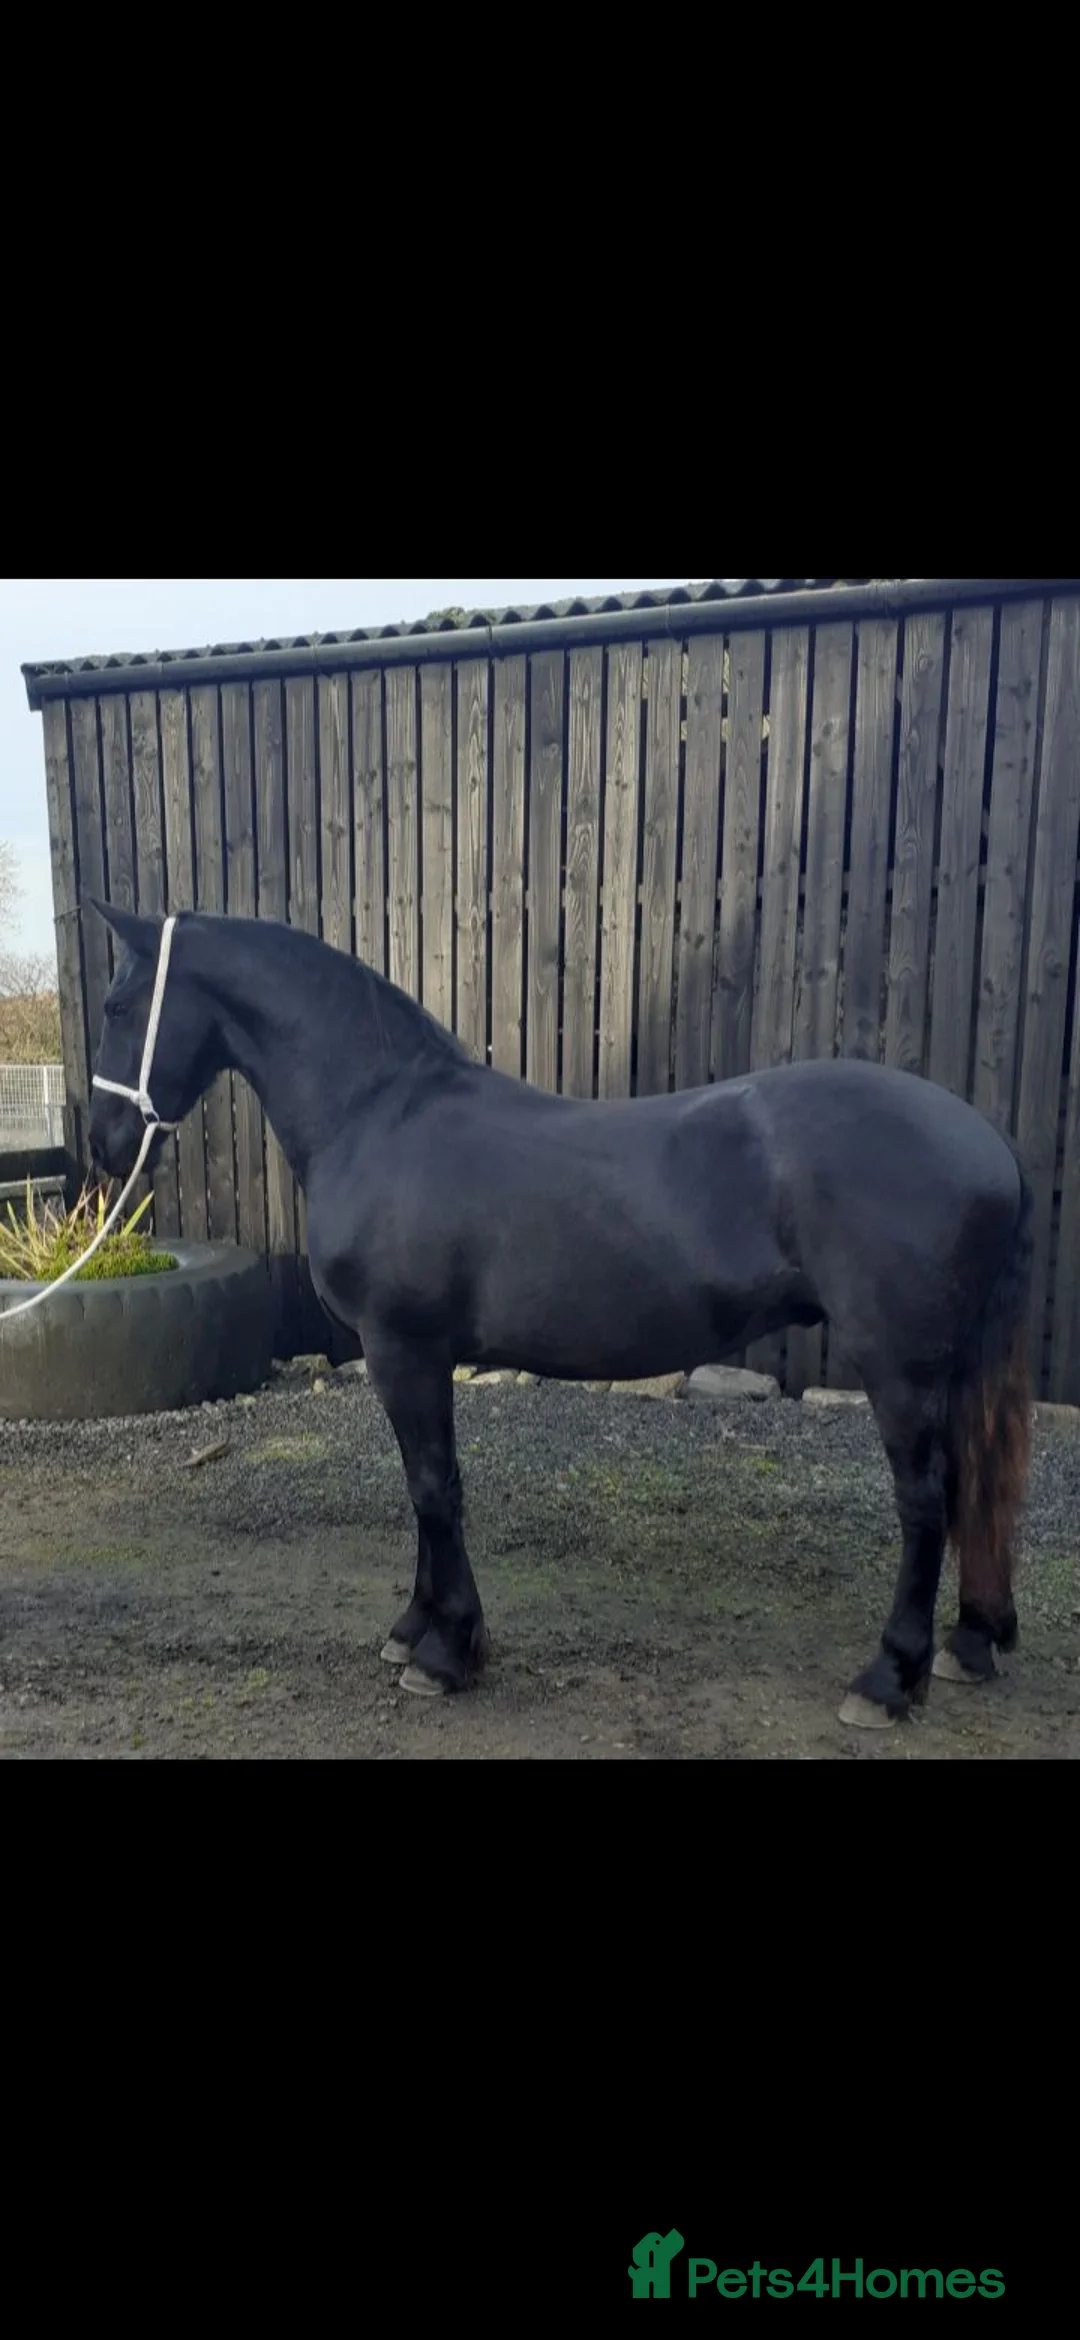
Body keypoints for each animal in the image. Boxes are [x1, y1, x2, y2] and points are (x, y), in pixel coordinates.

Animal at [86, 902, 1033, 1731]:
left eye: (118, 1005)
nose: (101, 1142)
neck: (378, 1113)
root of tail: (988, 1140)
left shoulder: (404, 1349)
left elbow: (434, 1488)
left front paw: (446, 1653)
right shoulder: (416, 1358)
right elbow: (424, 1488)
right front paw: (414, 1630)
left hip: (899, 1368)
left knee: (927, 1502)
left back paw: (889, 1678)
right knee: (973, 1490)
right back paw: (970, 1644)